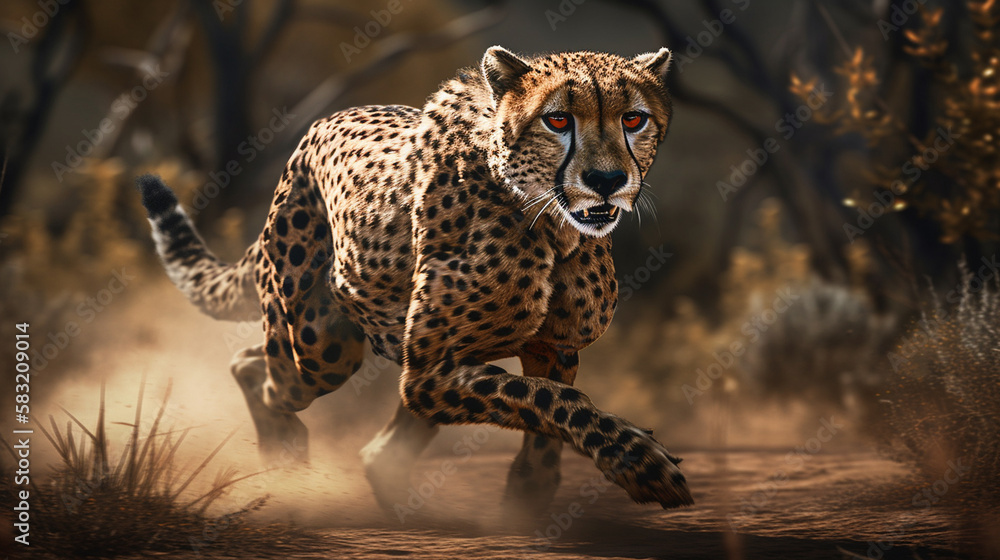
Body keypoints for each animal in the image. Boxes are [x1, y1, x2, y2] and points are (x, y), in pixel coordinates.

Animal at [137, 46, 693, 514]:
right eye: (557, 119)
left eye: (633, 118)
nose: (607, 181)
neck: (552, 226)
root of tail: (313, 132)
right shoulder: (428, 374)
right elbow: (550, 401)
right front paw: (642, 463)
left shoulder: (546, 348)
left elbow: (546, 417)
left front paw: (528, 499)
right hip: (322, 346)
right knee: (257, 369)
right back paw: (285, 454)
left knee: (372, 446)